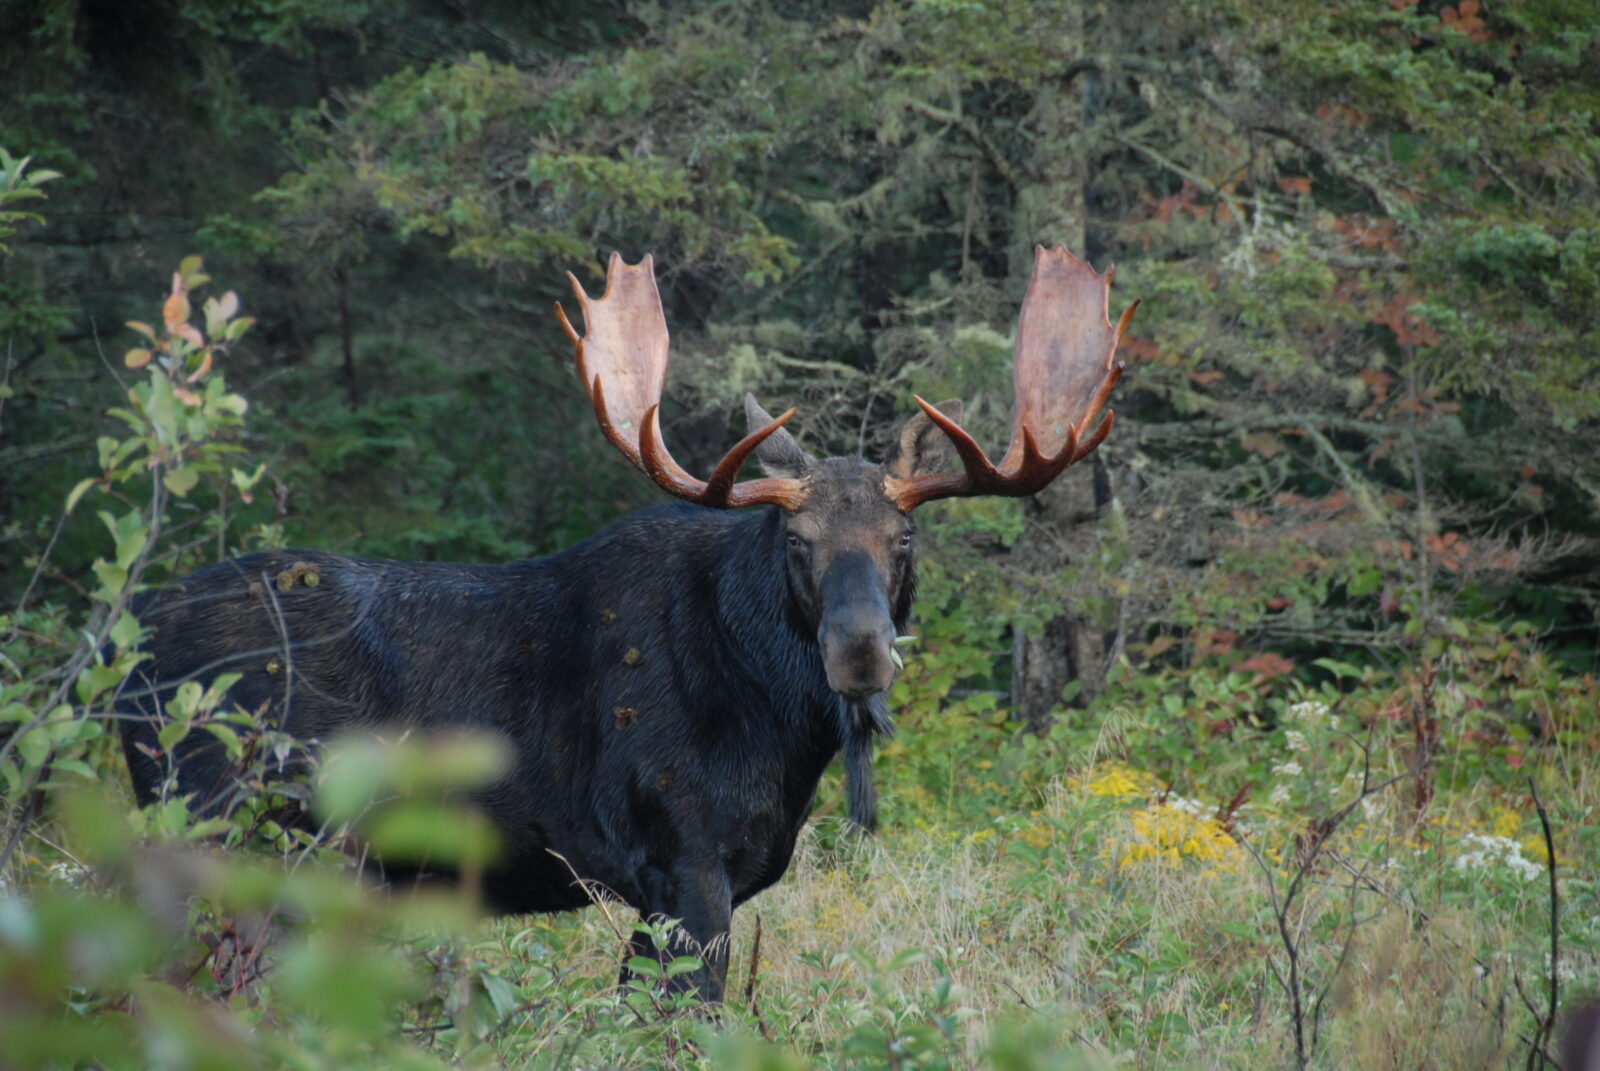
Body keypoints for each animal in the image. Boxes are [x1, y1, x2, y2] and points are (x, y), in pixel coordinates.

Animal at [118, 246, 1132, 998]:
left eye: (904, 536)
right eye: (796, 538)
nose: (859, 651)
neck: (777, 734)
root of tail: (131, 647)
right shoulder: (679, 858)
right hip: (221, 827)